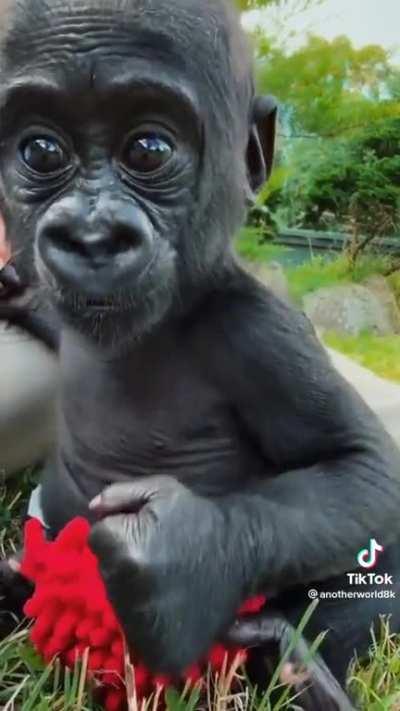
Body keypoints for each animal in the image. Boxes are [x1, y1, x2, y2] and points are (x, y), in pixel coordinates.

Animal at [0, 1, 400, 709]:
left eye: (149, 150)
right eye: (42, 151)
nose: (92, 235)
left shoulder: (261, 332)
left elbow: (362, 469)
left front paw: (180, 559)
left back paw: (289, 656)